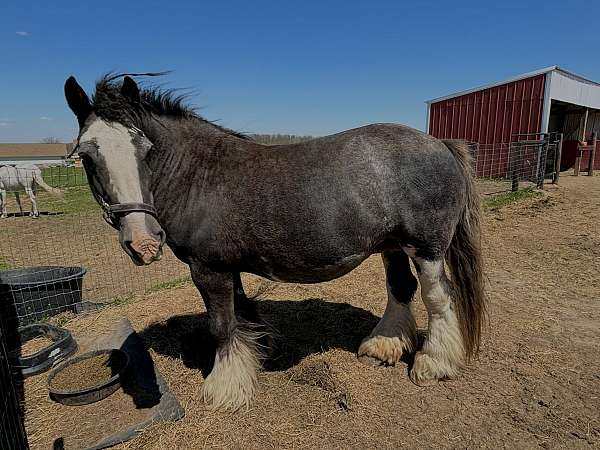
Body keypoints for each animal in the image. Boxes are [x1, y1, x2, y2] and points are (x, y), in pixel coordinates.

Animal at [63, 73, 486, 412]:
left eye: (145, 148)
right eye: (85, 155)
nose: (144, 242)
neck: (199, 175)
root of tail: (439, 143)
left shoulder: (207, 269)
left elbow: (222, 325)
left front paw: (225, 388)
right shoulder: (225, 266)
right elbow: (242, 312)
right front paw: (258, 351)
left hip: (427, 248)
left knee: (438, 298)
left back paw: (433, 362)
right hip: (391, 245)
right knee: (400, 287)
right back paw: (382, 346)